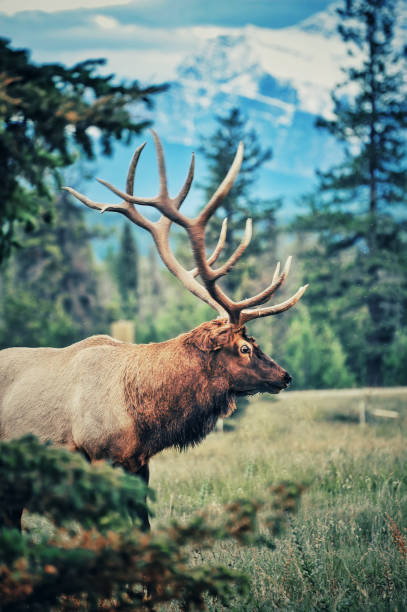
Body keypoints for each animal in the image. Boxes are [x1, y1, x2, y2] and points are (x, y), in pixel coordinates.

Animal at [0, 133, 308, 532]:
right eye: (243, 347)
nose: (285, 376)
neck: (143, 418)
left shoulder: (138, 463)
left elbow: (143, 525)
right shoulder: (95, 455)